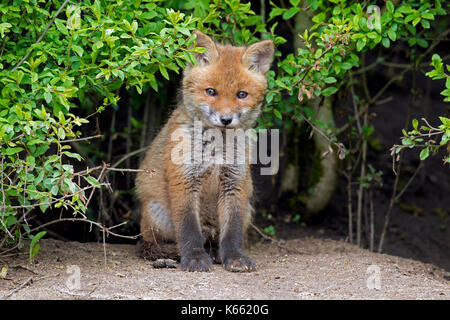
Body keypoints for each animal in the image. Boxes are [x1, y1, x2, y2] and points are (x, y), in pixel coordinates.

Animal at [135, 30, 272, 272]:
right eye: (211, 92)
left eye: (242, 95)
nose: (226, 119)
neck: (216, 149)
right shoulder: (184, 180)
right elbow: (189, 229)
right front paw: (195, 258)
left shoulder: (234, 183)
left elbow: (232, 231)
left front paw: (233, 257)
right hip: (156, 213)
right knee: (156, 244)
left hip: (246, 209)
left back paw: (216, 253)